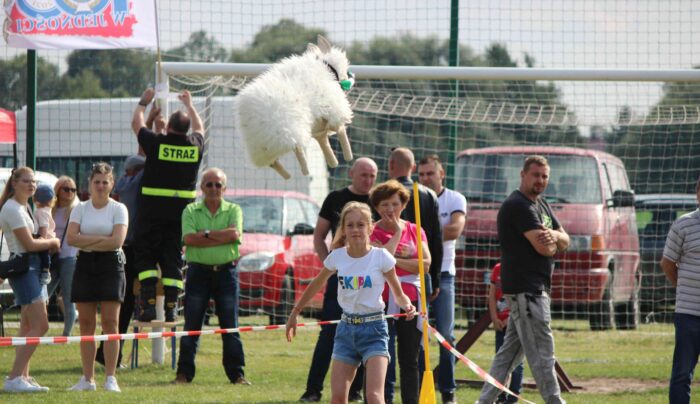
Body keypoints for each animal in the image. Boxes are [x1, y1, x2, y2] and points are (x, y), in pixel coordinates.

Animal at [235, 35, 356, 178]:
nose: (349, 78)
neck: (325, 67)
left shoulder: (321, 125)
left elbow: (324, 139)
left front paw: (333, 161)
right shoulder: (334, 109)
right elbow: (341, 131)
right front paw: (347, 156)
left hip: (260, 147)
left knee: (272, 163)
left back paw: (287, 174)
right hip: (291, 129)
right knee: (298, 149)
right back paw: (306, 171)